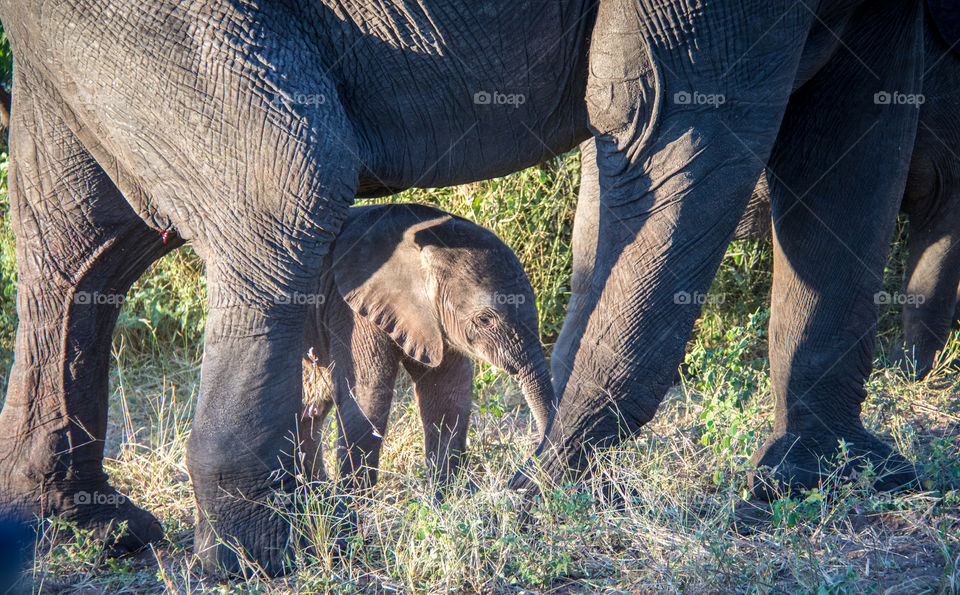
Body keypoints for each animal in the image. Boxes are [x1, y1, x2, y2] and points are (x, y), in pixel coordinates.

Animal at [300, 205, 556, 494]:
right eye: (484, 320)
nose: (531, 466)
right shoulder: (350, 308)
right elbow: (367, 392)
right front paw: (352, 499)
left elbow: (446, 390)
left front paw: (446, 496)